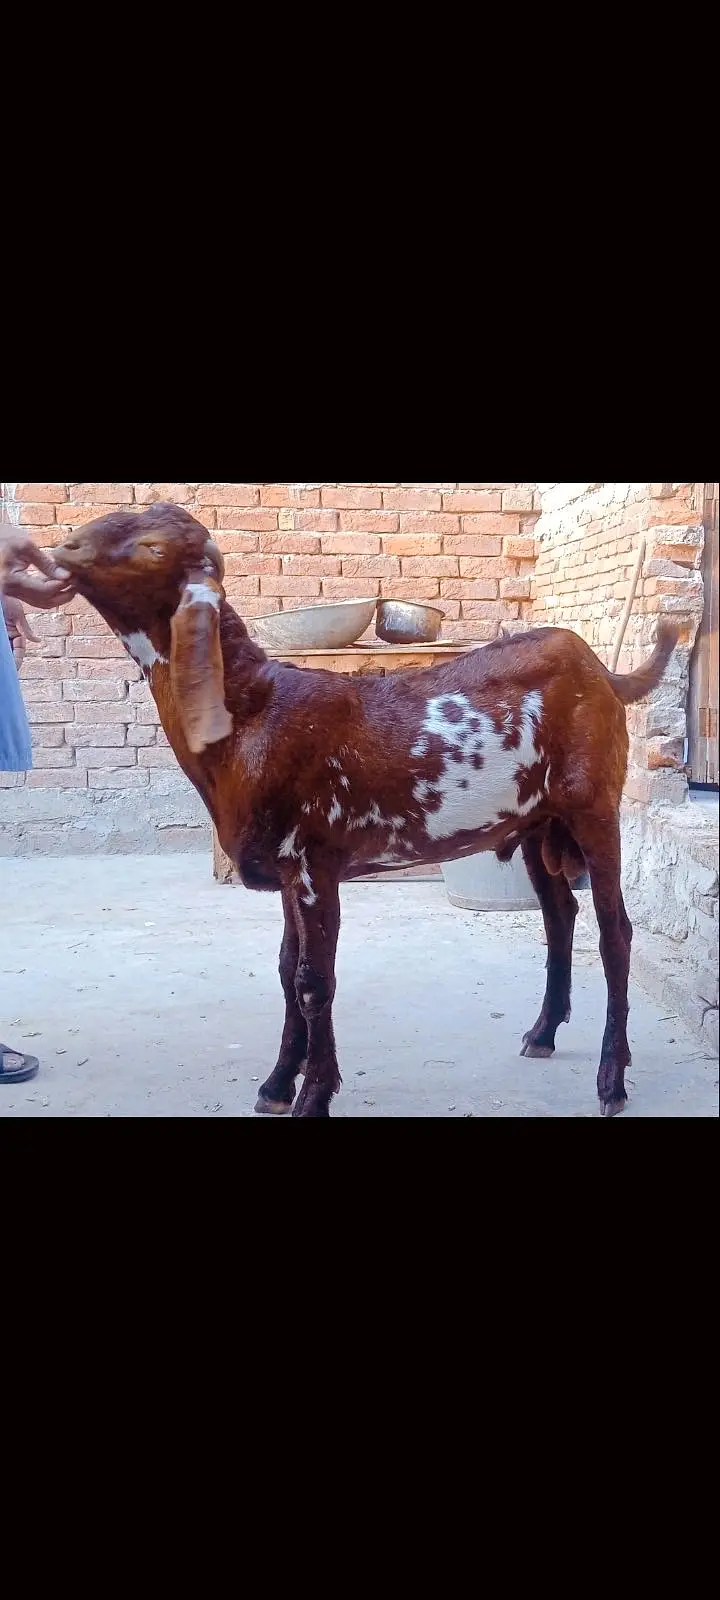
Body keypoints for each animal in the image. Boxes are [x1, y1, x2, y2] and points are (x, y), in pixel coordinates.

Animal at [56, 505, 681, 1119]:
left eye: (153, 548)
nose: (66, 549)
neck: (252, 711)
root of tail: (604, 673)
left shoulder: (315, 861)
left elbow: (314, 980)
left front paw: (312, 1095)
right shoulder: (288, 870)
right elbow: (286, 970)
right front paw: (277, 1084)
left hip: (593, 806)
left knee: (614, 932)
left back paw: (611, 1081)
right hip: (536, 822)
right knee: (559, 915)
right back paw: (543, 1033)